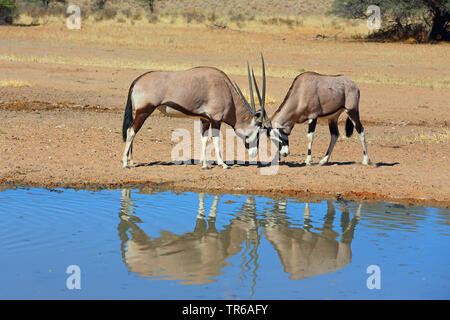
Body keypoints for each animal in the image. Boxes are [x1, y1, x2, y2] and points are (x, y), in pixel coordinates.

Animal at [121, 61, 268, 170]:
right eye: (258, 132)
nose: (254, 153)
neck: (226, 89)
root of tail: (137, 80)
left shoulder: (205, 119)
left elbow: (204, 139)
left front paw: (204, 164)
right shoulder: (216, 119)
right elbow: (216, 139)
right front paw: (223, 164)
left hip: (139, 112)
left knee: (131, 130)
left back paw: (131, 161)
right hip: (144, 111)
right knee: (131, 131)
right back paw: (125, 163)